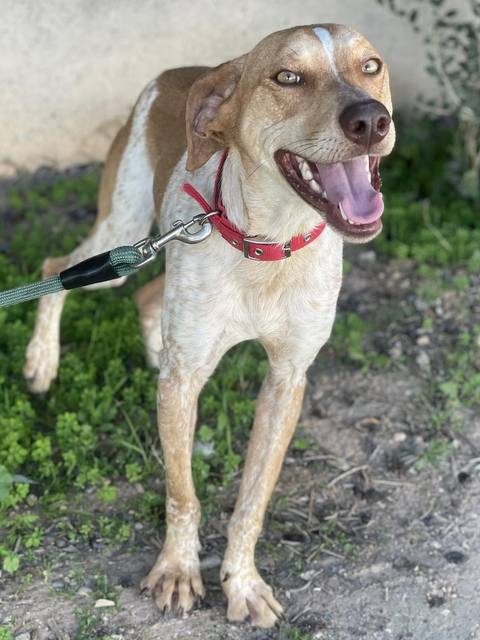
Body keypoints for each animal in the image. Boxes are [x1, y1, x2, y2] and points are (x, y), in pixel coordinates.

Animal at [24, 24, 394, 628]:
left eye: (371, 66)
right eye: (287, 76)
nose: (370, 120)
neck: (269, 246)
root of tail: (178, 73)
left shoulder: (287, 379)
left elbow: (252, 501)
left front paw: (241, 583)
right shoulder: (183, 386)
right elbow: (183, 494)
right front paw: (178, 571)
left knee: (147, 299)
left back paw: (150, 347)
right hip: (118, 242)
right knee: (54, 268)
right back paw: (41, 362)